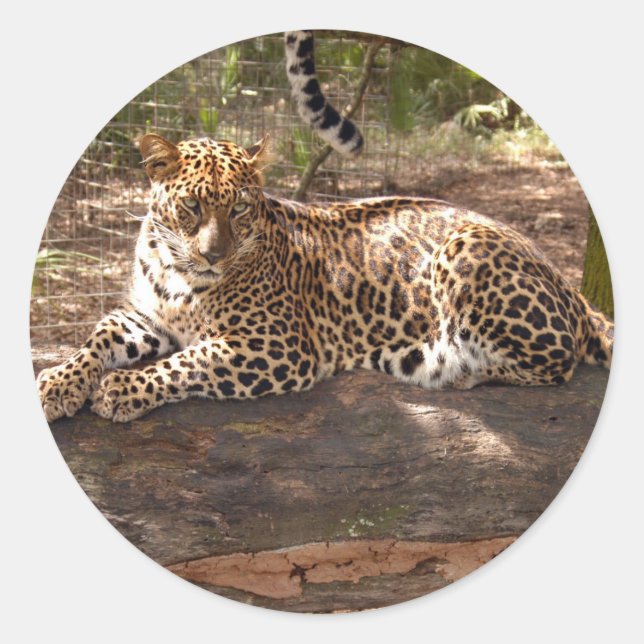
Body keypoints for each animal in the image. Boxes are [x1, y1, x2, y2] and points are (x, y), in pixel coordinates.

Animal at [36, 133, 613, 423]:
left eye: (239, 209)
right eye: (193, 206)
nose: (214, 257)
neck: (176, 273)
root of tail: (568, 284)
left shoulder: (277, 345)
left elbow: (189, 362)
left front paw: (123, 389)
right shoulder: (143, 316)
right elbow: (97, 337)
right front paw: (58, 384)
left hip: (465, 248)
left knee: (555, 361)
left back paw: (451, 366)